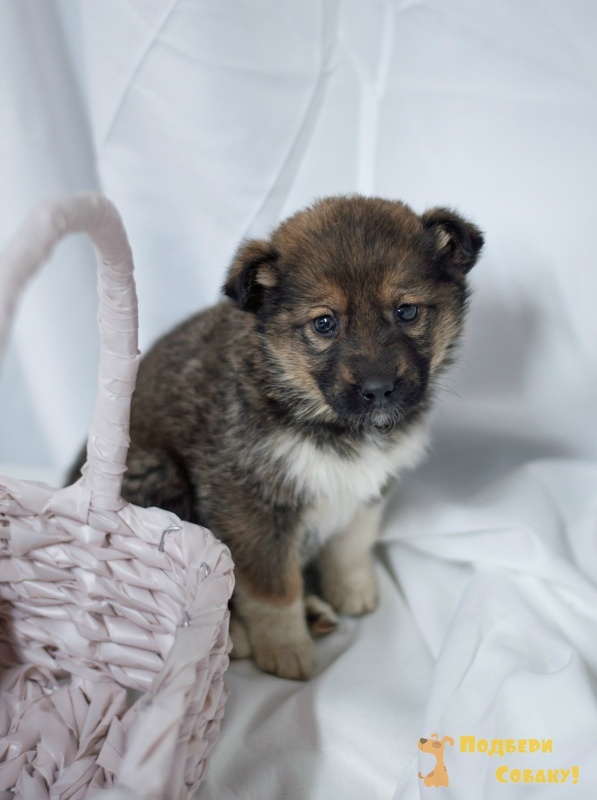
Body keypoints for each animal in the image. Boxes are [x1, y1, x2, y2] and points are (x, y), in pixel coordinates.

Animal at [68, 195, 483, 680]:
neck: (328, 421)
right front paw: (285, 649)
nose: (379, 389)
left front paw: (351, 590)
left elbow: (351, 545)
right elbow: (273, 588)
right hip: (155, 476)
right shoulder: (250, 506)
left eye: (407, 311)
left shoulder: (369, 489)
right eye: (324, 323)